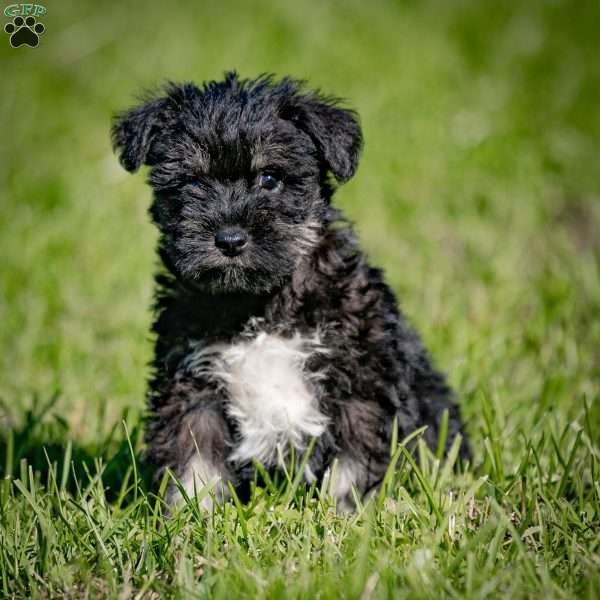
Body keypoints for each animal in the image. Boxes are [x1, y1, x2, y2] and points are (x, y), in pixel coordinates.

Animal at [112, 70, 468, 510]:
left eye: (270, 179)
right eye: (192, 181)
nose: (230, 239)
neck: (260, 304)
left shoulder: (364, 385)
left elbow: (354, 465)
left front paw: (347, 516)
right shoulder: (192, 385)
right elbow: (195, 461)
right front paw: (191, 517)